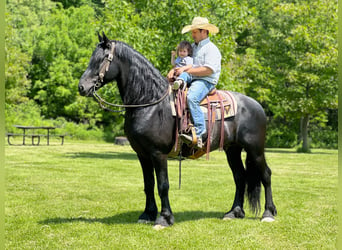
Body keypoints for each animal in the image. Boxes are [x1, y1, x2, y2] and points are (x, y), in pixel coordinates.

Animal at [79, 33, 276, 229]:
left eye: (103, 58)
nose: (82, 87)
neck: (150, 103)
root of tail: (257, 105)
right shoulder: (142, 154)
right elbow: (148, 184)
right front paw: (147, 214)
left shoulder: (158, 154)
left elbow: (163, 185)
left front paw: (164, 218)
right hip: (232, 149)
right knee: (240, 177)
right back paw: (234, 212)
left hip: (255, 149)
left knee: (265, 174)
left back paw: (268, 213)